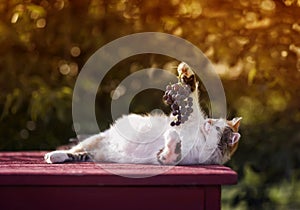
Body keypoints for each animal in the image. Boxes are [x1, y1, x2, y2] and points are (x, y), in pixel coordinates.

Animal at [44, 62, 241, 166]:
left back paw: (53, 156)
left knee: (81, 154)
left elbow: (171, 151)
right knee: (75, 150)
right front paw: (186, 73)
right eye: (213, 120)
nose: (207, 123)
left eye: (217, 127)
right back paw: (54, 154)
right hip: (96, 138)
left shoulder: (166, 158)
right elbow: (191, 96)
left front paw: (172, 139)